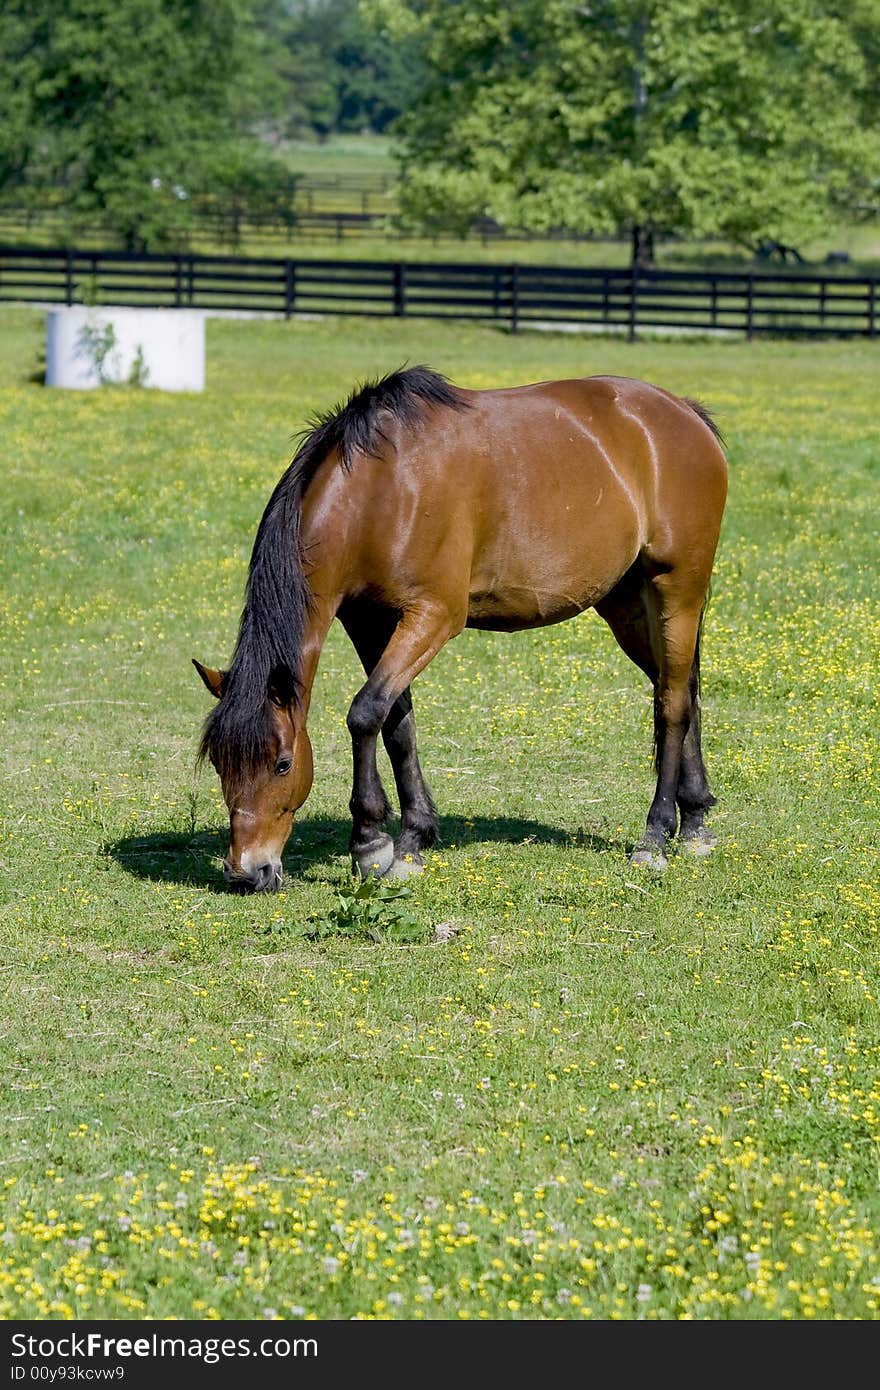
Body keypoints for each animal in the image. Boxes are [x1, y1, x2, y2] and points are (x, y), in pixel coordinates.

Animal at [193, 366, 728, 889]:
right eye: (219, 762)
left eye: (282, 763)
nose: (247, 872)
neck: (381, 490)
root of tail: (684, 413)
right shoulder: (369, 622)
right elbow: (396, 723)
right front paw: (412, 838)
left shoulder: (435, 616)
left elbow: (365, 714)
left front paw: (370, 844)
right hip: (627, 605)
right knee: (681, 688)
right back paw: (695, 822)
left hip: (676, 590)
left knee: (672, 705)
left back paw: (655, 837)